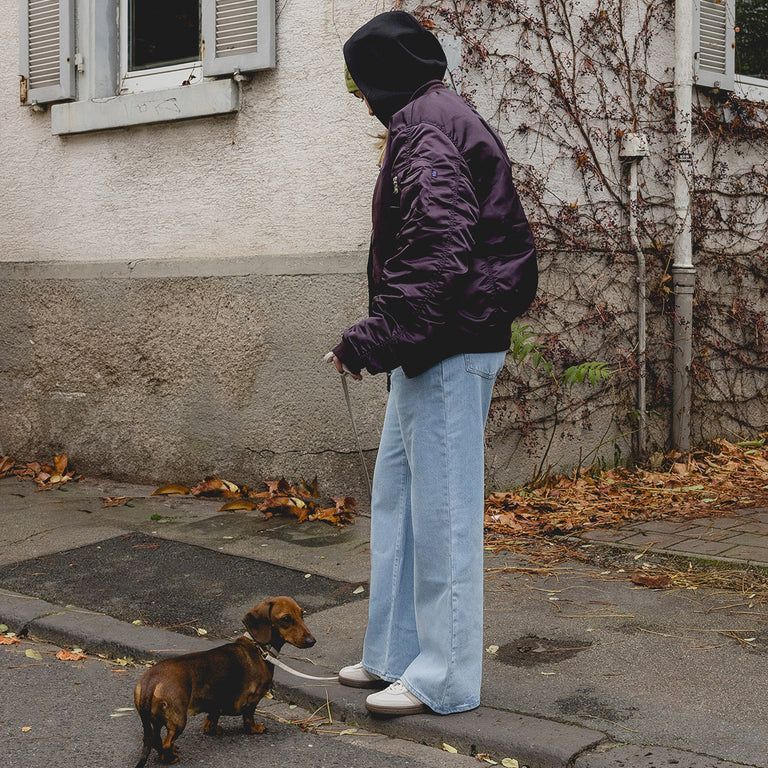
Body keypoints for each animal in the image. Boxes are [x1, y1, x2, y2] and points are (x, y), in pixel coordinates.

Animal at [134, 596, 314, 764]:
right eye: (286, 618)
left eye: (302, 614)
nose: (312, 641)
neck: (259, 648)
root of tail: (151, 682)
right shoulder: (252, 699)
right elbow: (249, 717)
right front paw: (254, 728)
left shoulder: (215, 703)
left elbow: (212, 719)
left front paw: (212, 730)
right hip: (177, 719)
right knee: (165, 742)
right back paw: (170, 757)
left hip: (153, 721)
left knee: (152, 740)